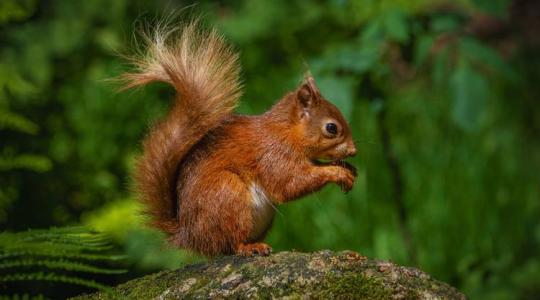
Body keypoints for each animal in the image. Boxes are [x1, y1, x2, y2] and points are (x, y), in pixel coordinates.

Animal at [120, 21, 356, 256]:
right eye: (331, 128)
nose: (354, 151)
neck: (285, 132)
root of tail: (191, 236)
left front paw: (348, 169)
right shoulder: (274, 155)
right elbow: (290, 184)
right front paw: (338, 173)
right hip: (228, 194)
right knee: (230, 244)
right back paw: (250, 247)